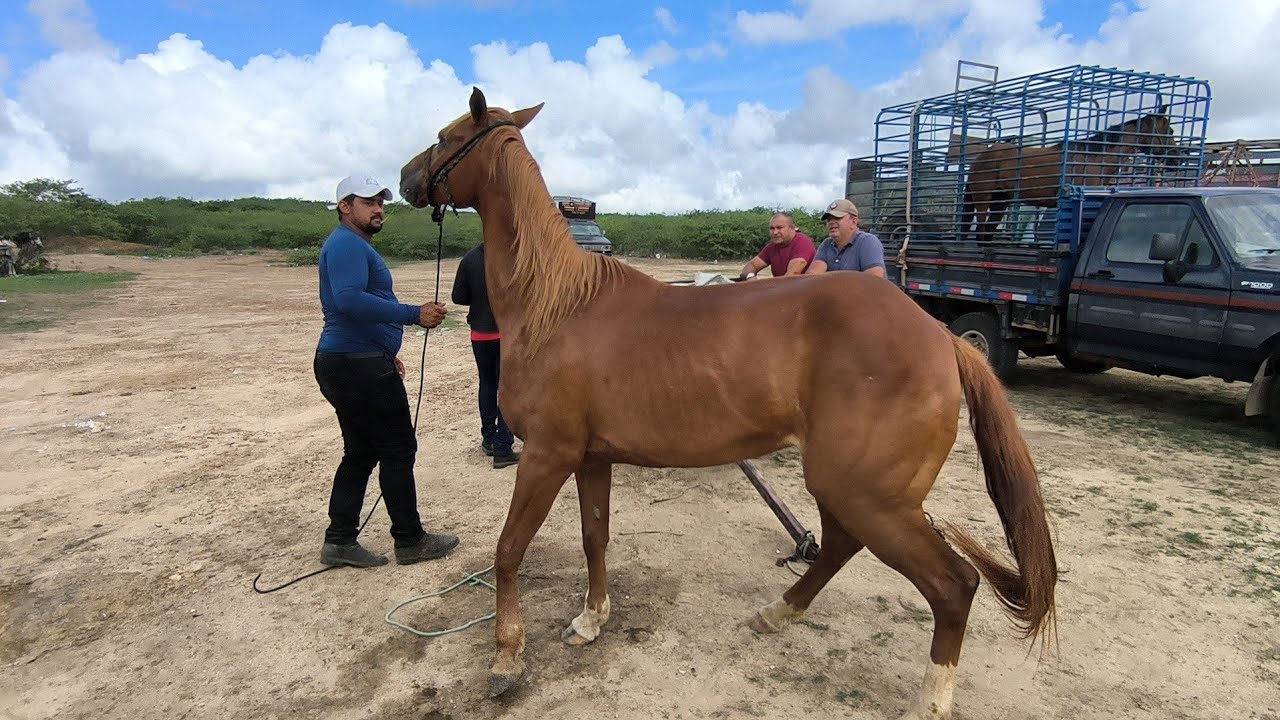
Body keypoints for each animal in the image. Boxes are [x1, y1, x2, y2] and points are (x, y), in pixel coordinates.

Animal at [399, 88, 1058, 720]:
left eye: (445, 137)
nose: (403, 177)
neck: (557, 305)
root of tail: (942, 338)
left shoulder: (546, 455)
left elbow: (508, 550)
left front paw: (506, 657)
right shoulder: (591, 458)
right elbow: (595, 537)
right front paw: (591, 620)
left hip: (871, 495)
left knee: (952, 586)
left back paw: (929, 701)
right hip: (849, 487)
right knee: (841, 545)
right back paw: (777, 613)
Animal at [961, 106, 1178, 242]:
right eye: (1170, 131)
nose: (1177, 158)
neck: (1093, 158)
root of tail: (979, 158)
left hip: (1001, 200)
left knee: (988, 232)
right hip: (983, 198)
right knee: (981, 231)